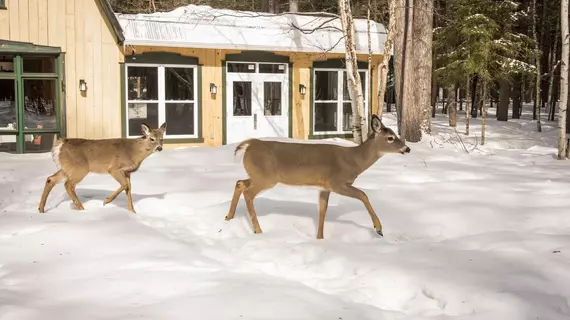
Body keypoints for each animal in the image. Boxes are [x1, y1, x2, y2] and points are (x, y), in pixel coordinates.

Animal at [37, 122, 165, 215]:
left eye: (162, 138)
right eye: (152, 139)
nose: (159, 148)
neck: (134, 152)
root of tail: (60, 145)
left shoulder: (128, 172)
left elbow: (128, 189)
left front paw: (133, 212)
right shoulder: (114, 168)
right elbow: (124, 185)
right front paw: (106, 201)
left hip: (66, 168)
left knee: (50, 179)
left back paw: (41, 209)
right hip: (79, 168)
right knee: (68, 184)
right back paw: (82, 209)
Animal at [225, 115, 408, 240]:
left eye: (396, 135)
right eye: (390, 138)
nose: (407, 149)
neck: (354, 161)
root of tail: (250, 144)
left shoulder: (324, 188)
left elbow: (322, 211)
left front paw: (319, 239)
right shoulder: (336, 182)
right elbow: (363, 194)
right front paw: (378, 228)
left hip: (257, 175)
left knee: (239, 183)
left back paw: (229, 217)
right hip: (266, 178)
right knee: (248, 193)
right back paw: (258, 230)